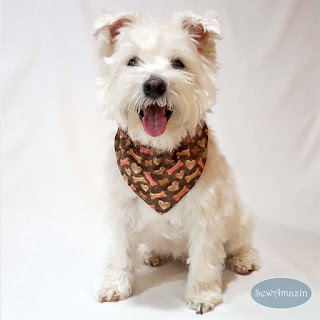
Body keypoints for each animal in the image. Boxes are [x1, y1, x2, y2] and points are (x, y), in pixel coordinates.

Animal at [93, 11, 260, 314]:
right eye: (132, 61)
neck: (159, 154)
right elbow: (119, 252)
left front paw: (202, 295)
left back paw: (244, 259)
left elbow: (205, 259)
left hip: (239, 217)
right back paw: (152, 253)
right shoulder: (121, 210)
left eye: (178, 63)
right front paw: (115, 286)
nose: (154, 85)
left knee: (238, 244)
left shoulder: (206, 216)